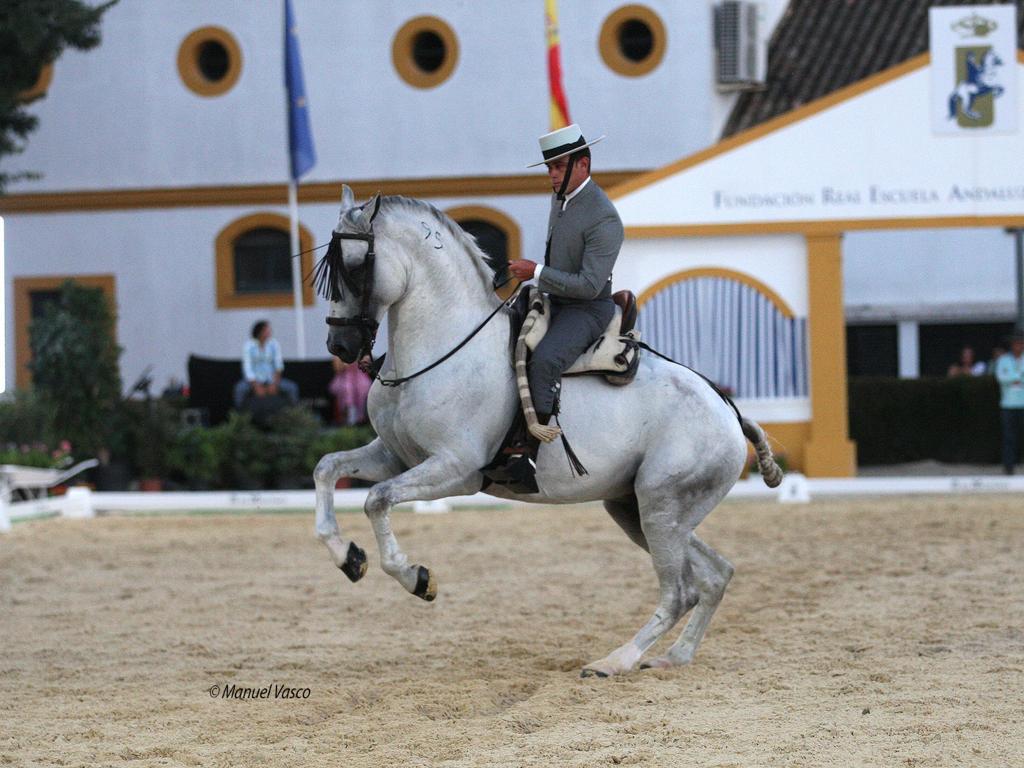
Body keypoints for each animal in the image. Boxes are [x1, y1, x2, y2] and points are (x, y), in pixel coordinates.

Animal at [315, 188, 778, 679]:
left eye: (356, 265)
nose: (340, 347)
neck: (443, 351)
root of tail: (726, 409)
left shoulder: (457, 470)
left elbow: (377, 499)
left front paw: (418, 578)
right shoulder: (395, 456)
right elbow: (327, 469)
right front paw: (348, 558)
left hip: (661, 509)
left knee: (680, 592)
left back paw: (614, 661)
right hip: (640, 511)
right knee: (716, 574)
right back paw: (674, 657)